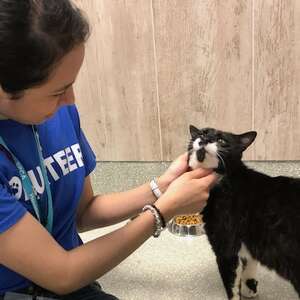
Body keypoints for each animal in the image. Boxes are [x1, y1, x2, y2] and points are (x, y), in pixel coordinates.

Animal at [188, 125, 300, 300]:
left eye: (221, 140)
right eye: (201, 133)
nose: (205, 139)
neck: (226, 181)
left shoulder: (225, 248)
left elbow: (231, 285)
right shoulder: (249, 246)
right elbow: (249, 267)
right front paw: (250, 290)